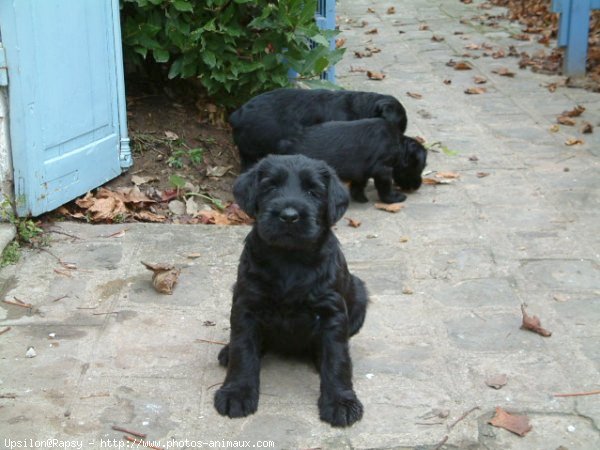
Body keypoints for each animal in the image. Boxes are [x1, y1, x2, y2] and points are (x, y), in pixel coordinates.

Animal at [213, 154, 368, 426]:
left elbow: (337, 358)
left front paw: (341, 401)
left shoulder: (332, 312)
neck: (289, 259)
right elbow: (243, 350)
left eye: (313, 191)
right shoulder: (246, 306)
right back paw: (228, 351)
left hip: (359, 294)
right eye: (270, 187)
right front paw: (236, 392)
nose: (288, 216)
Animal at [278, 118, 410, 205]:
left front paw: (360, 197)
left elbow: (359, 183)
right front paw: (394, 198)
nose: (413, 188)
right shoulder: (383, 168)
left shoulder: (362, 170)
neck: (398, 143)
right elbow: (385, 186)